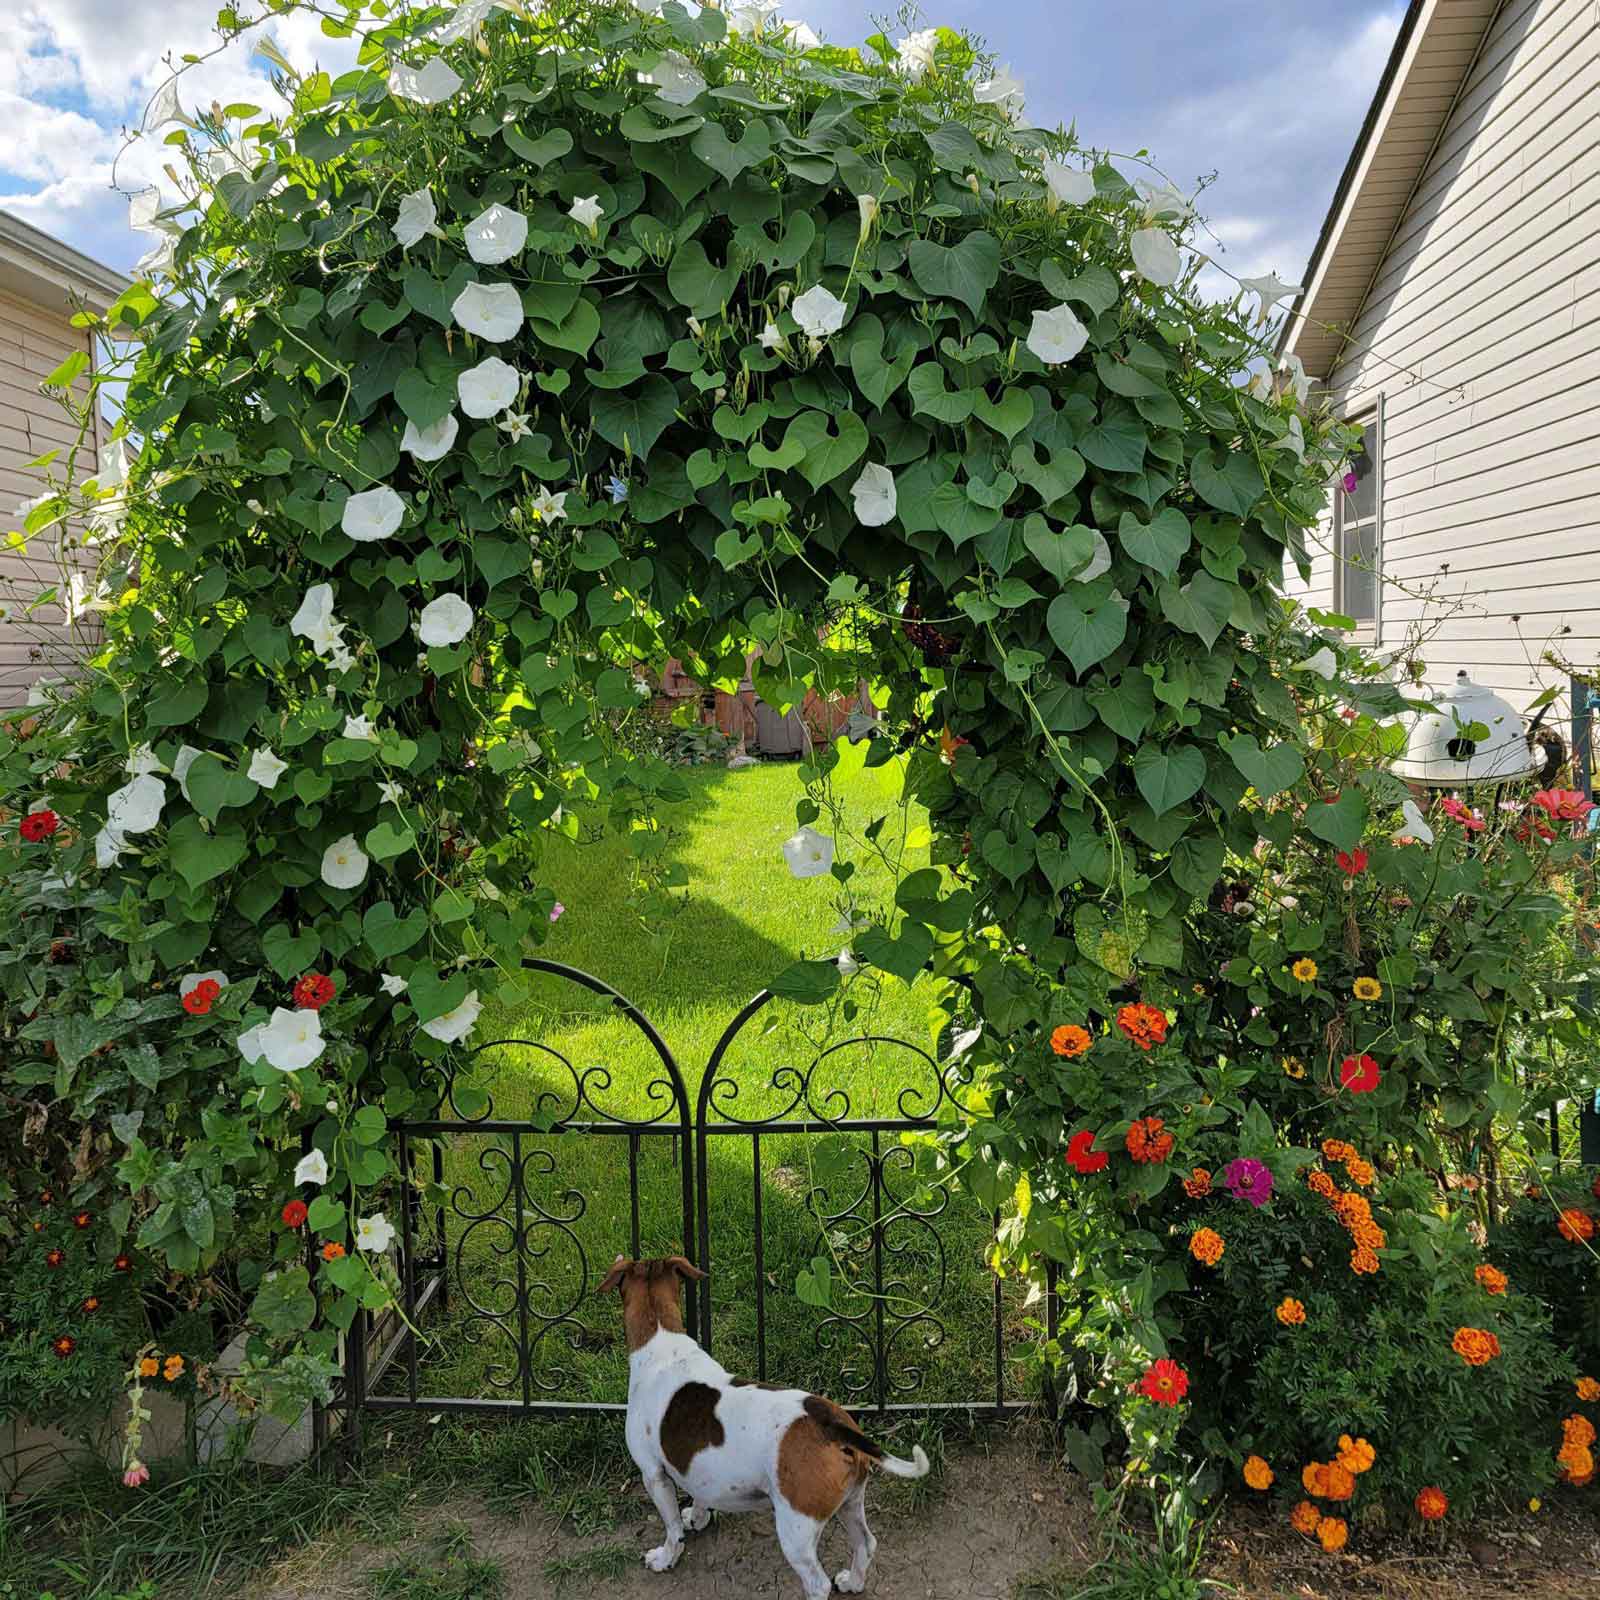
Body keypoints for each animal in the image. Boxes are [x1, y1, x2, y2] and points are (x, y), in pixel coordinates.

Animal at [601, 1254, 934, 1593]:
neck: (662, 1342)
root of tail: (830, 1423)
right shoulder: (698, 1469)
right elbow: (700, 1494)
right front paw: (697, 1516)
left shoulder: (653, 1475)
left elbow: (671, 1529)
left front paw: (666, 1557)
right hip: (851, 1501)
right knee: (866, 1544)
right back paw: (852, 1582)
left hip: (796, 1532)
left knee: (818, 1583)